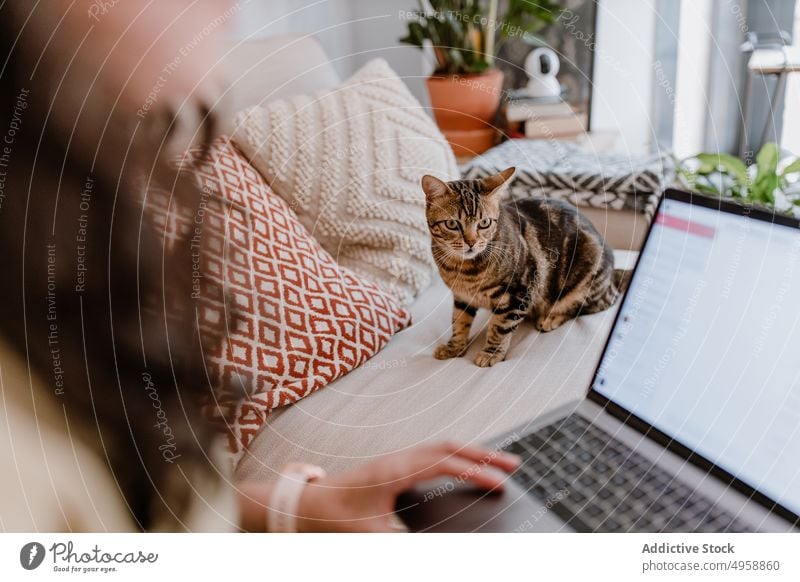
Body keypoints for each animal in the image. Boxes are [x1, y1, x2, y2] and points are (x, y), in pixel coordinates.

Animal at [422, 167, 628, 368]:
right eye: (451, 224)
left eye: (484, 223)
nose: (471, 242)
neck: (463, 270)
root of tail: (613, 273)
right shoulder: (461, 297)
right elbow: (459, 321)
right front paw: (454, 347)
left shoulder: (519, 292)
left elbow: (500, 327)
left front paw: (491, 353)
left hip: (585, 279)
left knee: (595, 303)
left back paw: (551, 317)